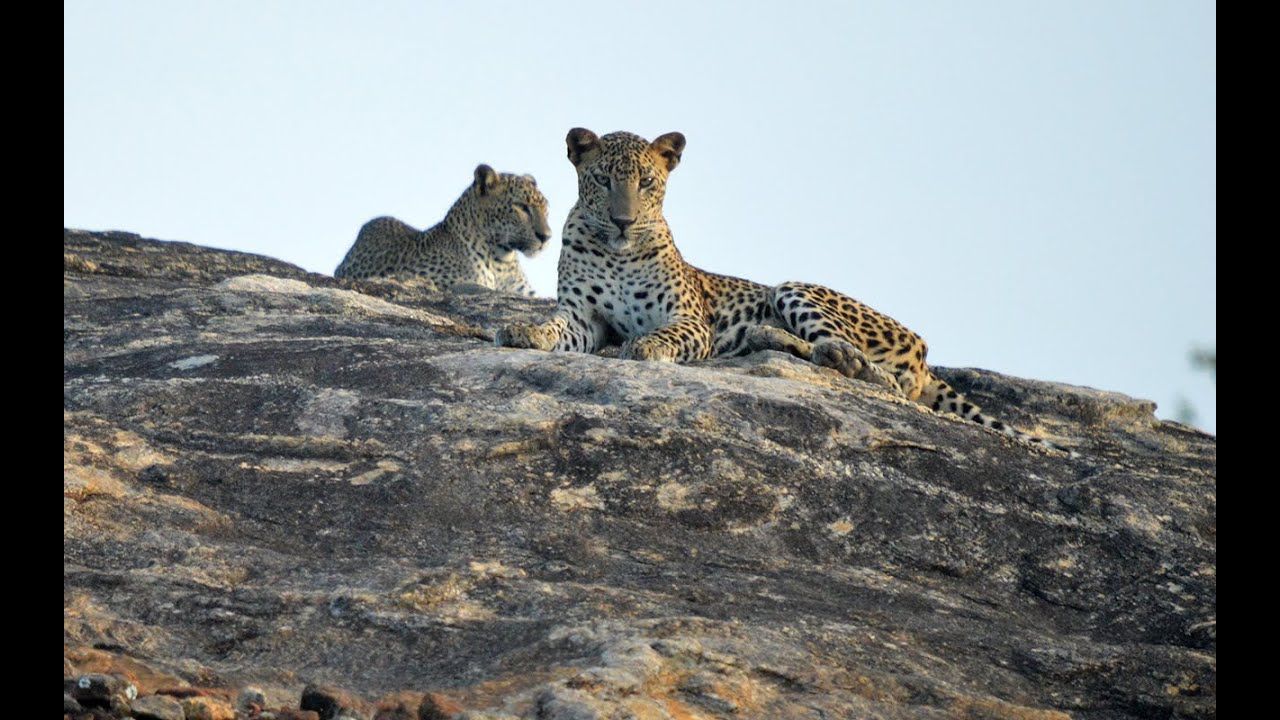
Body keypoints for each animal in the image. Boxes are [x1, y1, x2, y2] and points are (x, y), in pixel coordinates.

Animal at [495, 128, 1070, 453]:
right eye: (602, 181)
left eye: (647, 184)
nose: (622, 221)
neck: (616, 251)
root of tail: (925, 353)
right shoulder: (583, 318)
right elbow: (555, 327)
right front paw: (523, 330)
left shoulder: (691, 321)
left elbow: (664, 336)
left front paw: (643, 347)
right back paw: (766, 339)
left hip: (796, 287)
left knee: (879, 375)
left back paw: (839, 359)